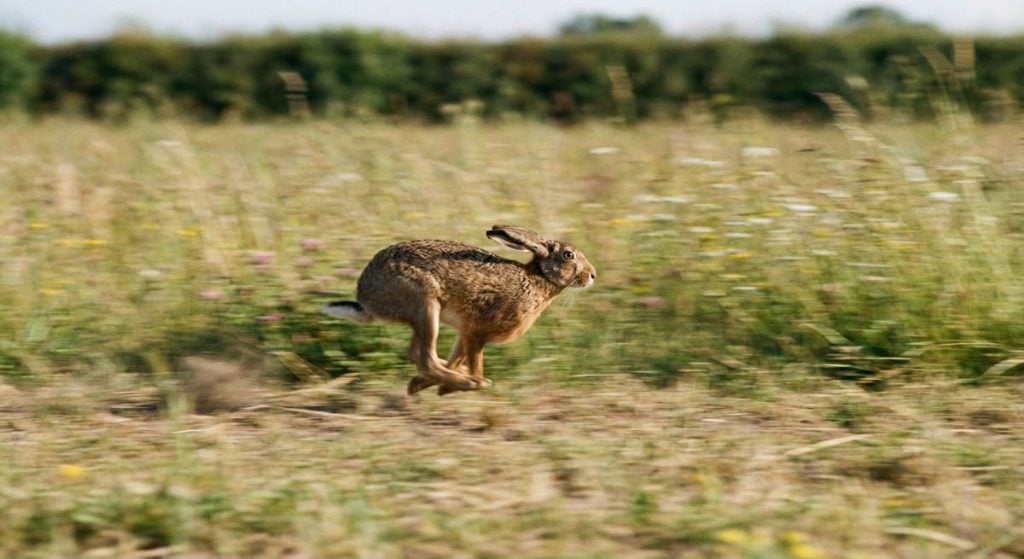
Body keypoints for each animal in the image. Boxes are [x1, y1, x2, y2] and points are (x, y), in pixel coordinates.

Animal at [323, 225, 596, 396]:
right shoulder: (477, 332)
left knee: (419, 355)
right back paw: (469, 382)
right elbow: (474, 361)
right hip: (425, 304)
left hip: (423, 316)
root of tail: (365, 298)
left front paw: (422, 385)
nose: (592, 275)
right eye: (568, 255)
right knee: (426, 359)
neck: (537, 280)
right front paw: (464, 383)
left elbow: (457, 357)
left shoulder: (465, 332)